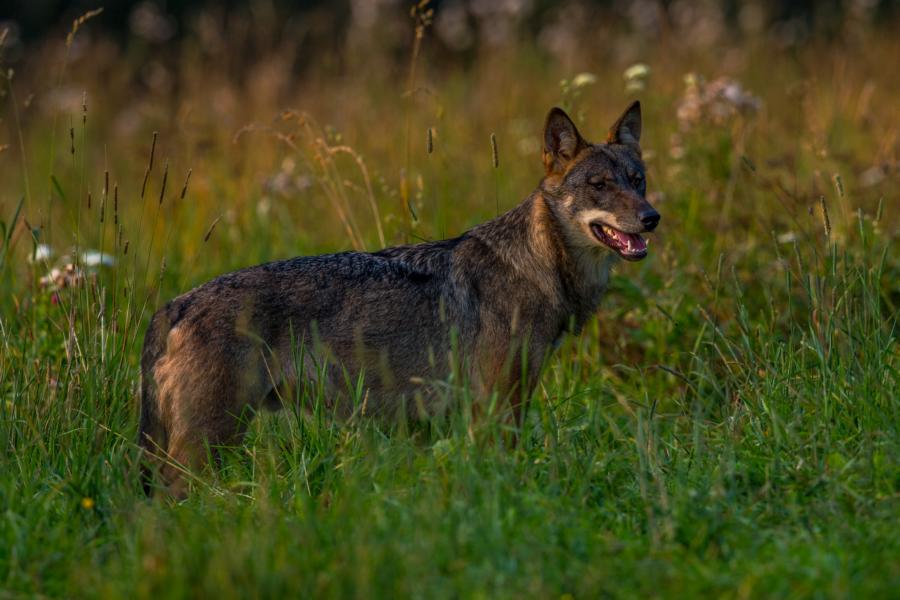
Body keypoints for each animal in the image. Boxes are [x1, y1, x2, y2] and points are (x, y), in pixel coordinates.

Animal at [139, 103, 660, 494]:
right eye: (599, 185)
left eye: (637, 180)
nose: (652, 217)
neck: (539, 267)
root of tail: (176, 305)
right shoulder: (494, 409)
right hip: (208, 444)